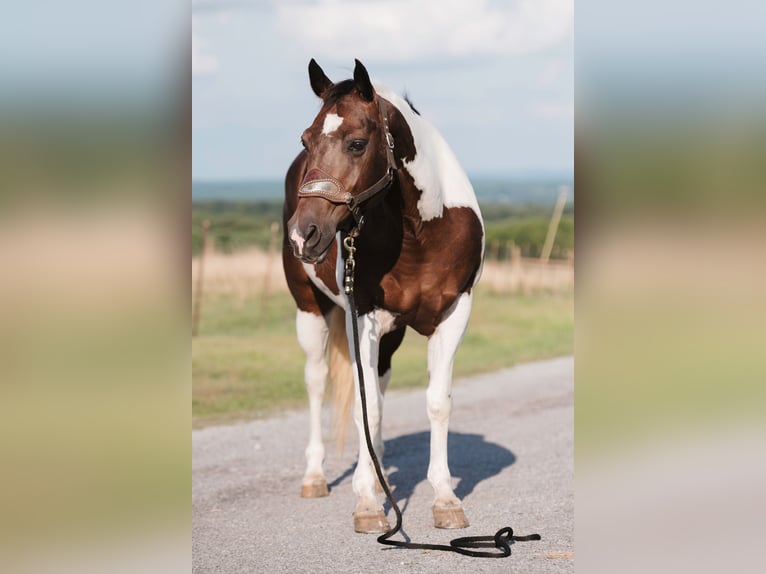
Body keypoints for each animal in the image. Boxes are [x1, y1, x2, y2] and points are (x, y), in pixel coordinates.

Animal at [282, 58, 486, 536]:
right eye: (306, 139)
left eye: (357, 143)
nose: (303, 235)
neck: (421, 230)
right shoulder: (364, 316)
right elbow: (366, 405)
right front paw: (367, 504)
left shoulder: (455, 313)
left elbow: (437, 401)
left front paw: (445, 498)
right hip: (310, 310)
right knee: (318, 381)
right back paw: (316, 477)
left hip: (391, 333)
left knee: (379, 380)